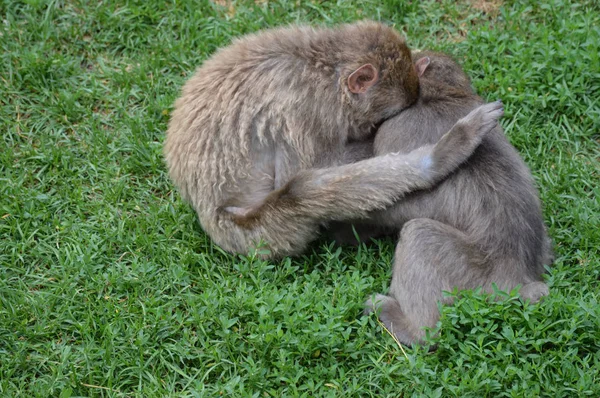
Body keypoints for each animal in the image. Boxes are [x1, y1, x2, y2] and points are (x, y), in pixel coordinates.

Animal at [163, 21, 502, 258]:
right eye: (379, 120)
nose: (368, 130)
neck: (326, 69)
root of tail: (209, 221)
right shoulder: (308, 112)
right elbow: (295, 173)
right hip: (259, 236)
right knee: (301, 190)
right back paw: (438, 158)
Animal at [356, 52, 552, 346]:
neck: (439, 94)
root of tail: (518, 279)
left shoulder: (392, 130)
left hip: (469, 270)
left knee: (419, 234)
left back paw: (410, 328)